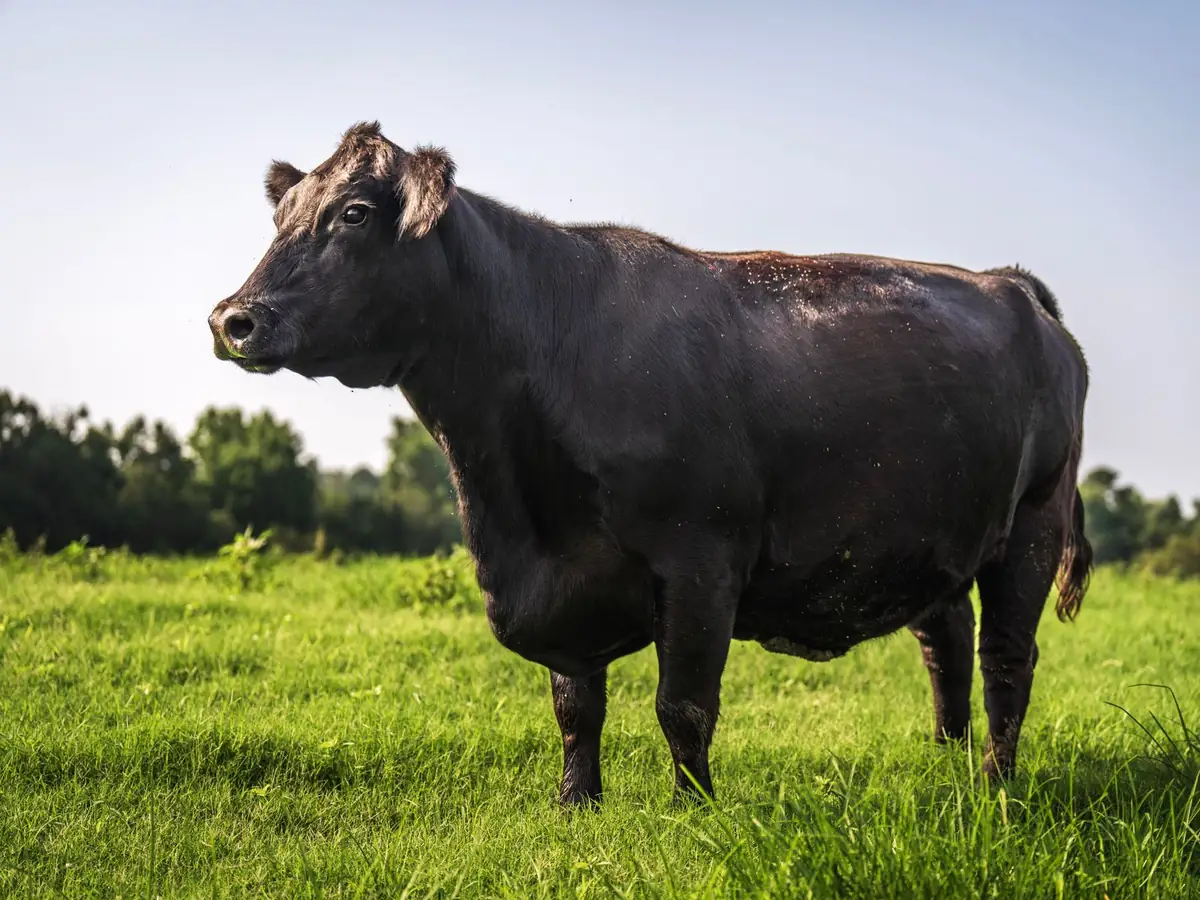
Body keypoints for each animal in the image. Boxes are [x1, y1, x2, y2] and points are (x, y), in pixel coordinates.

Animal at [208, 121, 1093, 806]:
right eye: (284, 214)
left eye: (355, 213)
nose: (233, 318)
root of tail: (1009, 283)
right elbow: (575, 705)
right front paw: (576, 804)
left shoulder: (700, 562)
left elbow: (683, 705)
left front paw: (693, 809)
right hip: (935, 534)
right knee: (945, 642)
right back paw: (944, 759)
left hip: (1032, 524)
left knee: (1006, 659)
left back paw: (996, 785)